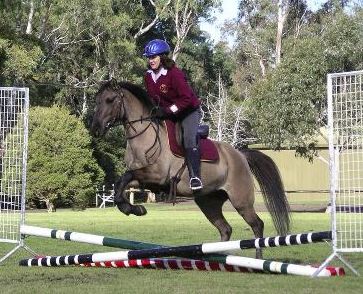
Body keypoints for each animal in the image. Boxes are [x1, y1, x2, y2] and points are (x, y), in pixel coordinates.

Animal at [92, 79, 292, 258]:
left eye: (110, 100)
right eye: (97, 100)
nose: (95, 128)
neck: (145, 136)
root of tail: (240, 155)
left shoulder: (156, 176)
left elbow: (125, 177)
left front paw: (134, 209)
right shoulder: (144, 179)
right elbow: (120, 183)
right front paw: (134, 209)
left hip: (240, 200)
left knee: (256, 224)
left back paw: (257, 258)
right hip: (208, 202)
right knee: (225, 229)